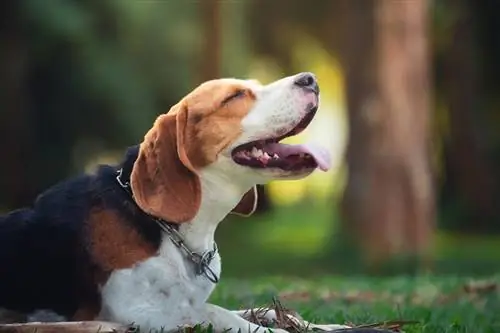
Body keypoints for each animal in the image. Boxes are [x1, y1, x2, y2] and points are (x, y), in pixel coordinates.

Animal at [0, 73, 352, 332]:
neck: (178, 231)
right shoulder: (147, 312)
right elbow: (220, 314)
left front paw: (325, 326)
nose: (310, 78)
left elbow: (259, 311)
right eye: (234, 97)